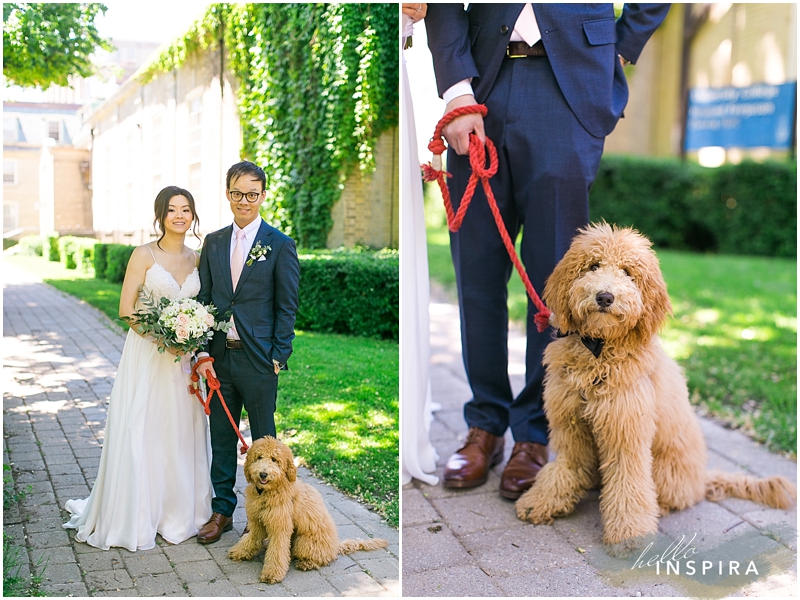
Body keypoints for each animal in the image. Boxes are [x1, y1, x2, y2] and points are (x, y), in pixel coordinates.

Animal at [227, 434, 390, 584]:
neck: (267, 492)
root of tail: (335, 546)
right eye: (259, 457)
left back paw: (306, 563)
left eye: (274, 459)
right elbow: (252, 538)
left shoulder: (280, 527)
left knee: (321, 558)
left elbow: (277, 551)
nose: (263, 474)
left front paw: (272, 574)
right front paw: (240, 551)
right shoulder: (256, 521)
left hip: (304, 543)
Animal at [512, 224, 792, 552]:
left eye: (627, 272)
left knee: (673, 496)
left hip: (665, 471)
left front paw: (629, 534)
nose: (604, 296)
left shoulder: (625, 432)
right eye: (593, 266)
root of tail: (701, 478)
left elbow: (628, 484)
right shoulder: (570, 426)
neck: (599, 351)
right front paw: (542, 500)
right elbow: (566, 466)